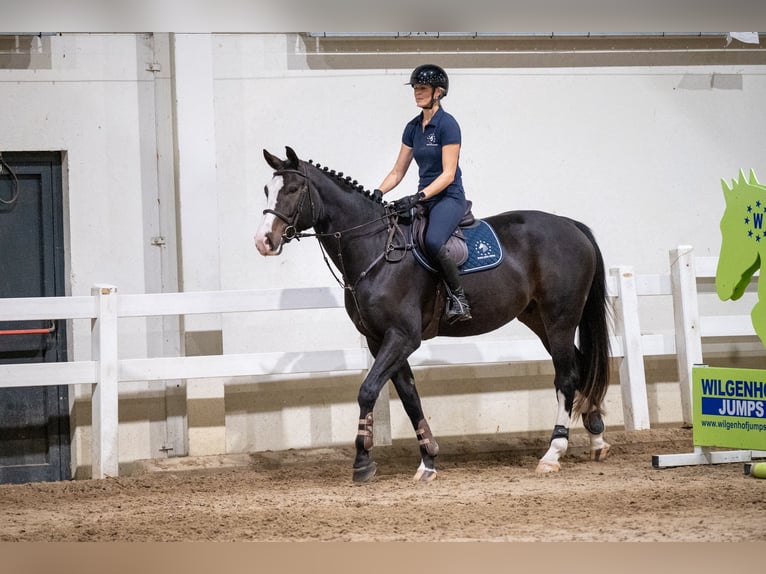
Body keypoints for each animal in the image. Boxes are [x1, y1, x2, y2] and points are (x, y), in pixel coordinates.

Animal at [256, 146, 612, 484]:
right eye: (266, 189)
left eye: (292, 189)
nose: (263, 241)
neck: (376, 249)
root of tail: (571, 225)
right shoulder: (379, 339)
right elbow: (409, 396)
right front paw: (428, 459)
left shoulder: (402, 336)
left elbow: (368, 389)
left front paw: (363, 461)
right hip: (538, 320)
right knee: (580, 367)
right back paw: (597, 439)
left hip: (560, 319)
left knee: (566, 377)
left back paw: (553, 453)